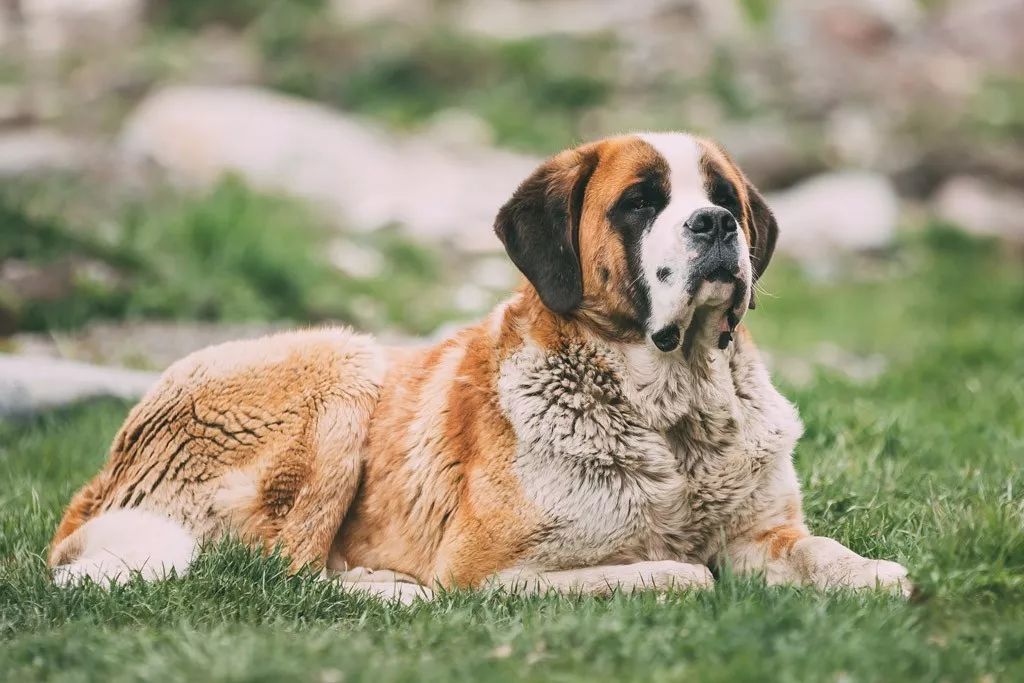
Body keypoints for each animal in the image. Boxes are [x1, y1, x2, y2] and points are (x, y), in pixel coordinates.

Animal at [49, 131, 913, 602]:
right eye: (640, 203)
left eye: (724, 196)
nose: (716, 224)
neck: (673, 410)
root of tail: (96, 481)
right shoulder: (488, 571)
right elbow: (678, 571)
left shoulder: (763, 530)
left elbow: (819, 549)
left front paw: (873, 572)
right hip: (342, 359)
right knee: (284, 565)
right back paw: (386, 590)